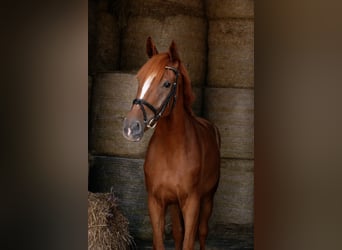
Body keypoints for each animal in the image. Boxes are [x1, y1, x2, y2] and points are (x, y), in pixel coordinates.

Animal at [121, 37, 220, 250]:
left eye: (167, 84)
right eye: (139, 79)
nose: (131, 127)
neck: (172, 151)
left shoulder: (192, 203)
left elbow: (189, 241)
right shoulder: (156, 202)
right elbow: (163, 240)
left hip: (208, 198)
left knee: (202, 232)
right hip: (174, 204)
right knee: (177, 232)